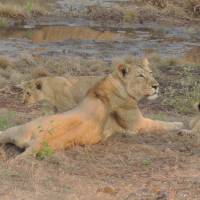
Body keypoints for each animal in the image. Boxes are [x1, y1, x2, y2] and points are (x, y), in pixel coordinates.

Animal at [0, 57, 183, 156]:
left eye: (151, 73)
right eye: (140, 76)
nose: (156, 85)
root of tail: (40, 139)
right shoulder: (137, 124)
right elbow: (161, 124)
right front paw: (180, 124)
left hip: (14, 131)